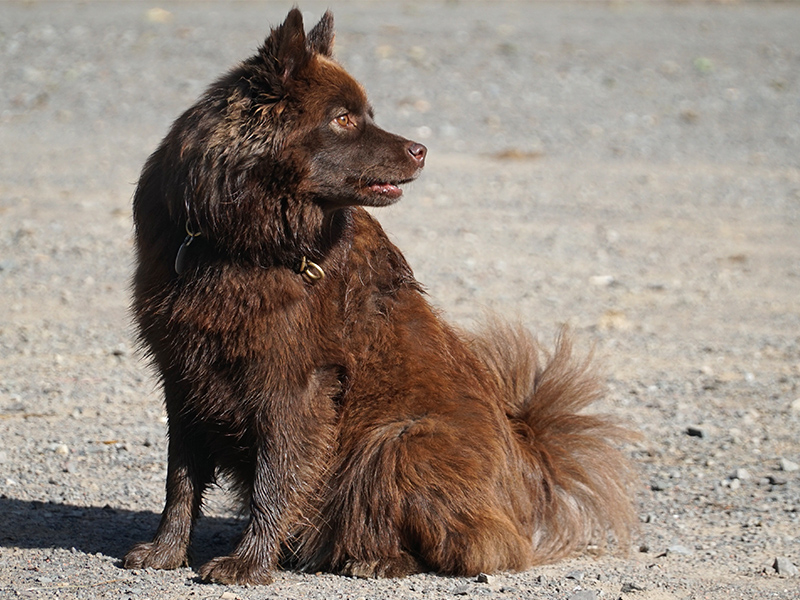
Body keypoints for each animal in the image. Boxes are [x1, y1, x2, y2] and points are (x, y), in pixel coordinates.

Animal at [123, 7, 636, 584]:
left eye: (367, 114)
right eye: (343, 119)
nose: (421, 149)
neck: (234, 243)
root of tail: (523, 457)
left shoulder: (294, 384)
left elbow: (275, 481)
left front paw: (248, 563)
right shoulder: (184, 375)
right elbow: (180, 479)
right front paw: (165, 552)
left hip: (396, 442)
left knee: (463, 546)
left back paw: (374, 558)